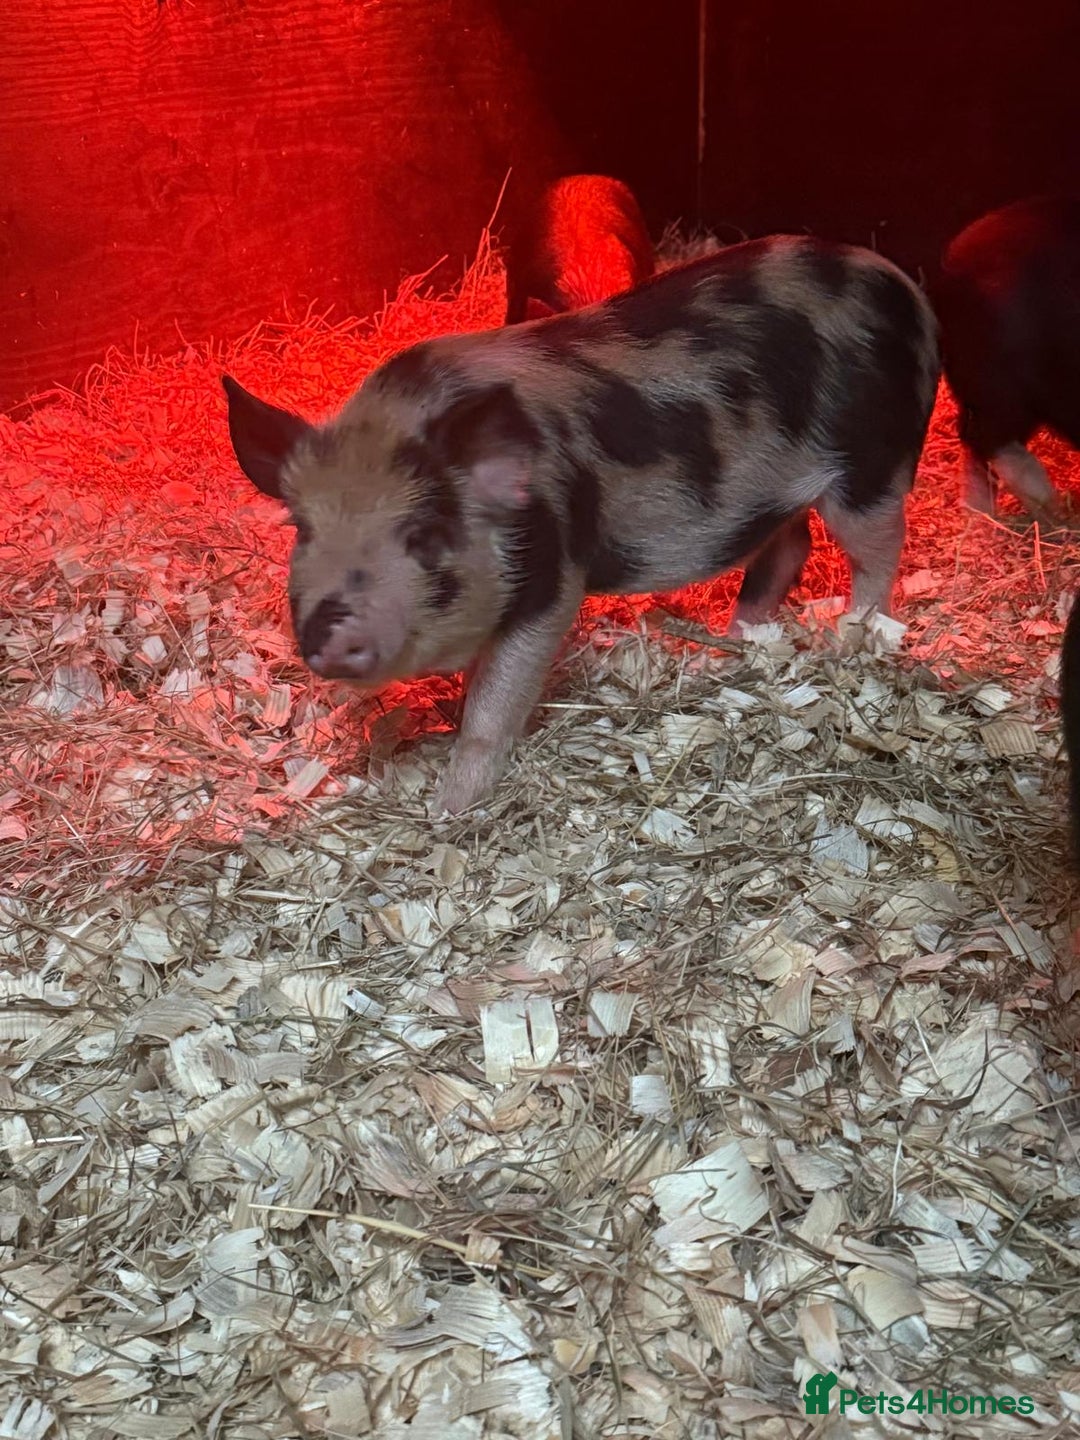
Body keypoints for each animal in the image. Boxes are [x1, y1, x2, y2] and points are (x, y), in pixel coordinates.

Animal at [222, 232, 939, 814]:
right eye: (303, 531)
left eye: (424, 533)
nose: (332, 633)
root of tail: (908, 293)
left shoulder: (552, 573)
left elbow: (495, 703)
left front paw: (449, 810)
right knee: (789, 545)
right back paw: (731, 648)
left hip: (873, 465)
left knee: (878, 552)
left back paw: (854, 641)